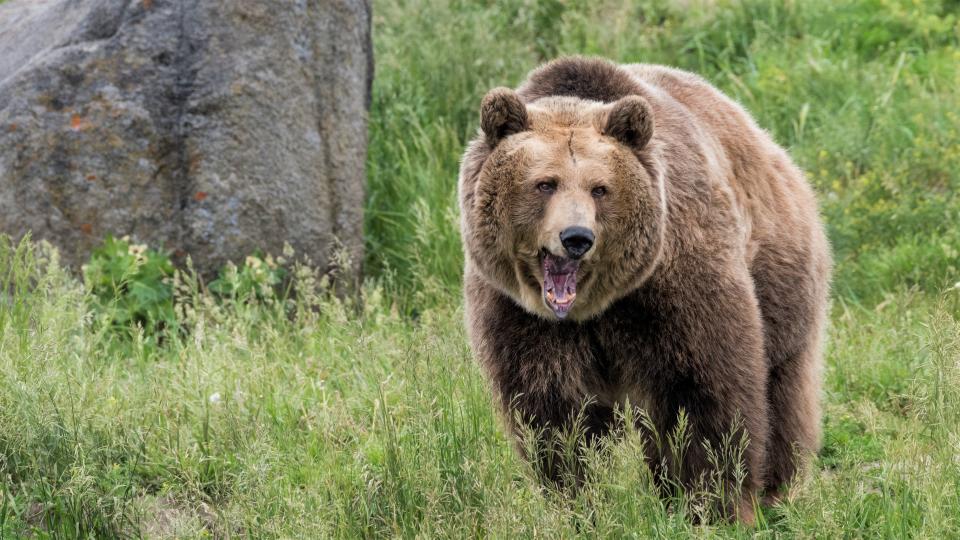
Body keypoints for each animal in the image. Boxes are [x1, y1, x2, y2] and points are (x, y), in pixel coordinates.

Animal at [462, 56, 828, 524]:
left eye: (600, 188)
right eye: (545, 183)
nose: (576, 237)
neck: (595, 307)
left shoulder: (673, 283)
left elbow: (701, 390)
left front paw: (712, 504)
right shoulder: (520, 314)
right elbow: (555, 411)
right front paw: (578, 500)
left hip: (779, 274)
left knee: (781, 386)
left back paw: (775, 491)